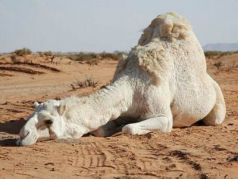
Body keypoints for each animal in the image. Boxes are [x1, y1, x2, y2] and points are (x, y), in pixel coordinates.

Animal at [16, 12, 225, 145]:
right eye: (31, 115)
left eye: (48, 121)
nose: (22, 136)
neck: (133, 85)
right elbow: (101, 129)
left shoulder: (164, 117)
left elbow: (129, 128)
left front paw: (122, 129)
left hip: (217, 103)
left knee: (215, 119)